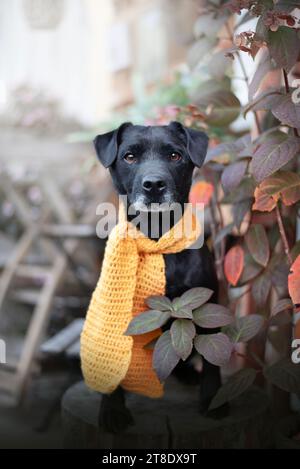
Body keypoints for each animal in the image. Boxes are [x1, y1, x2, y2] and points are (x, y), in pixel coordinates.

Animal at [94, 120, 220, 432]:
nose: (153, 185)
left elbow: (213, 361)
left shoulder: (208, 306)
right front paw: (112, 410)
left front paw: (213, 400)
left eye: (175, 155)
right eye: (129, 156)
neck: (156, 235)